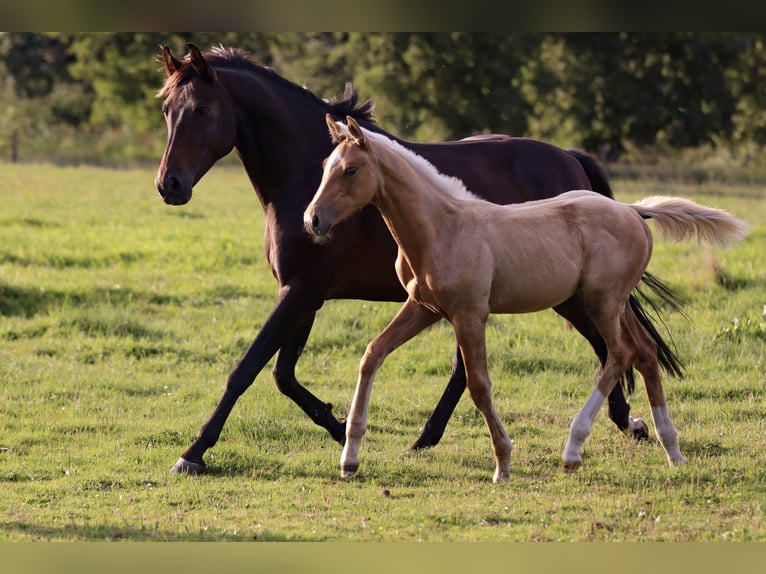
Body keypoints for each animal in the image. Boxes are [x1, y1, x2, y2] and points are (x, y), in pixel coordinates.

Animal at [155, 43, 679, 475]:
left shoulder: (301, 292)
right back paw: (431, 437)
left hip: (569, 296)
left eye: (202, 109)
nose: (169, 186)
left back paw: (624, 425)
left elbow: (247, 369)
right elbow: (284, 375)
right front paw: (339, 426)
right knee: (492, 367)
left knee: (611, 347)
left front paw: (194, 453)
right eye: (166, 109)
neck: (299, 174)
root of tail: (571, 160)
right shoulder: (306, 295)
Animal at [304, 116, 748, 482]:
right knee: (645, 352)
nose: (313, 220)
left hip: (600, 302)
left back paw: (573, 449)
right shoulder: (423, 309)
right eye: (324, 167)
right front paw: (349, 458)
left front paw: (503, 463)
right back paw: (672, 450)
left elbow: (479, 385)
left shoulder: (469, 314)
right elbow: (372, 354)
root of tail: (632, 210)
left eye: (351, 169)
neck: (441, 228)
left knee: (619, 354)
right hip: (616, 303)